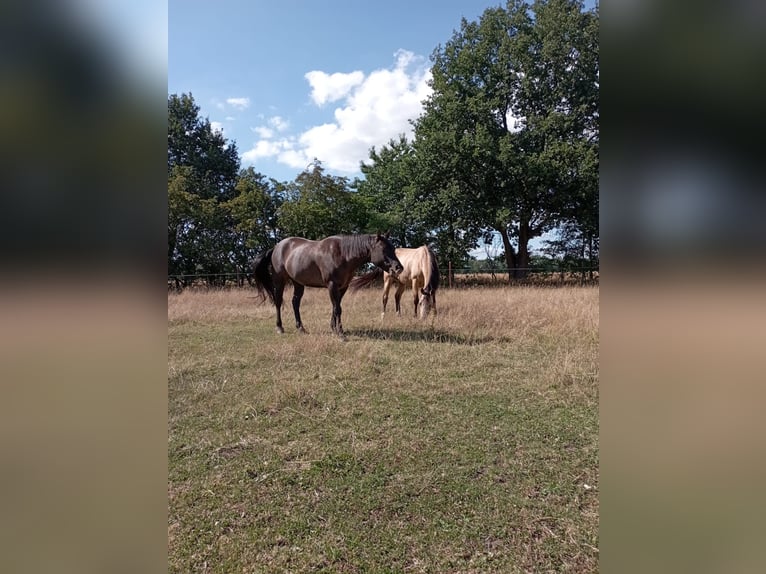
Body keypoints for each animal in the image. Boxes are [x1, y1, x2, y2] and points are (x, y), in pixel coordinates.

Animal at [251, 234, 403, 339]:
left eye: (393, 249)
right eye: (383, 249)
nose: (399, 268)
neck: (343, 254)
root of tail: (277, 247)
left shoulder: (342, 287)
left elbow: (336, 307)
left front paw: (334, 328)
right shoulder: (332, 285)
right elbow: (337, 308)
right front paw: (340, 334)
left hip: (298, 283)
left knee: (295, 303)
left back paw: (301, 328)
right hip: (279, 281)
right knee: (278, 302)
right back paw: (279, 327)